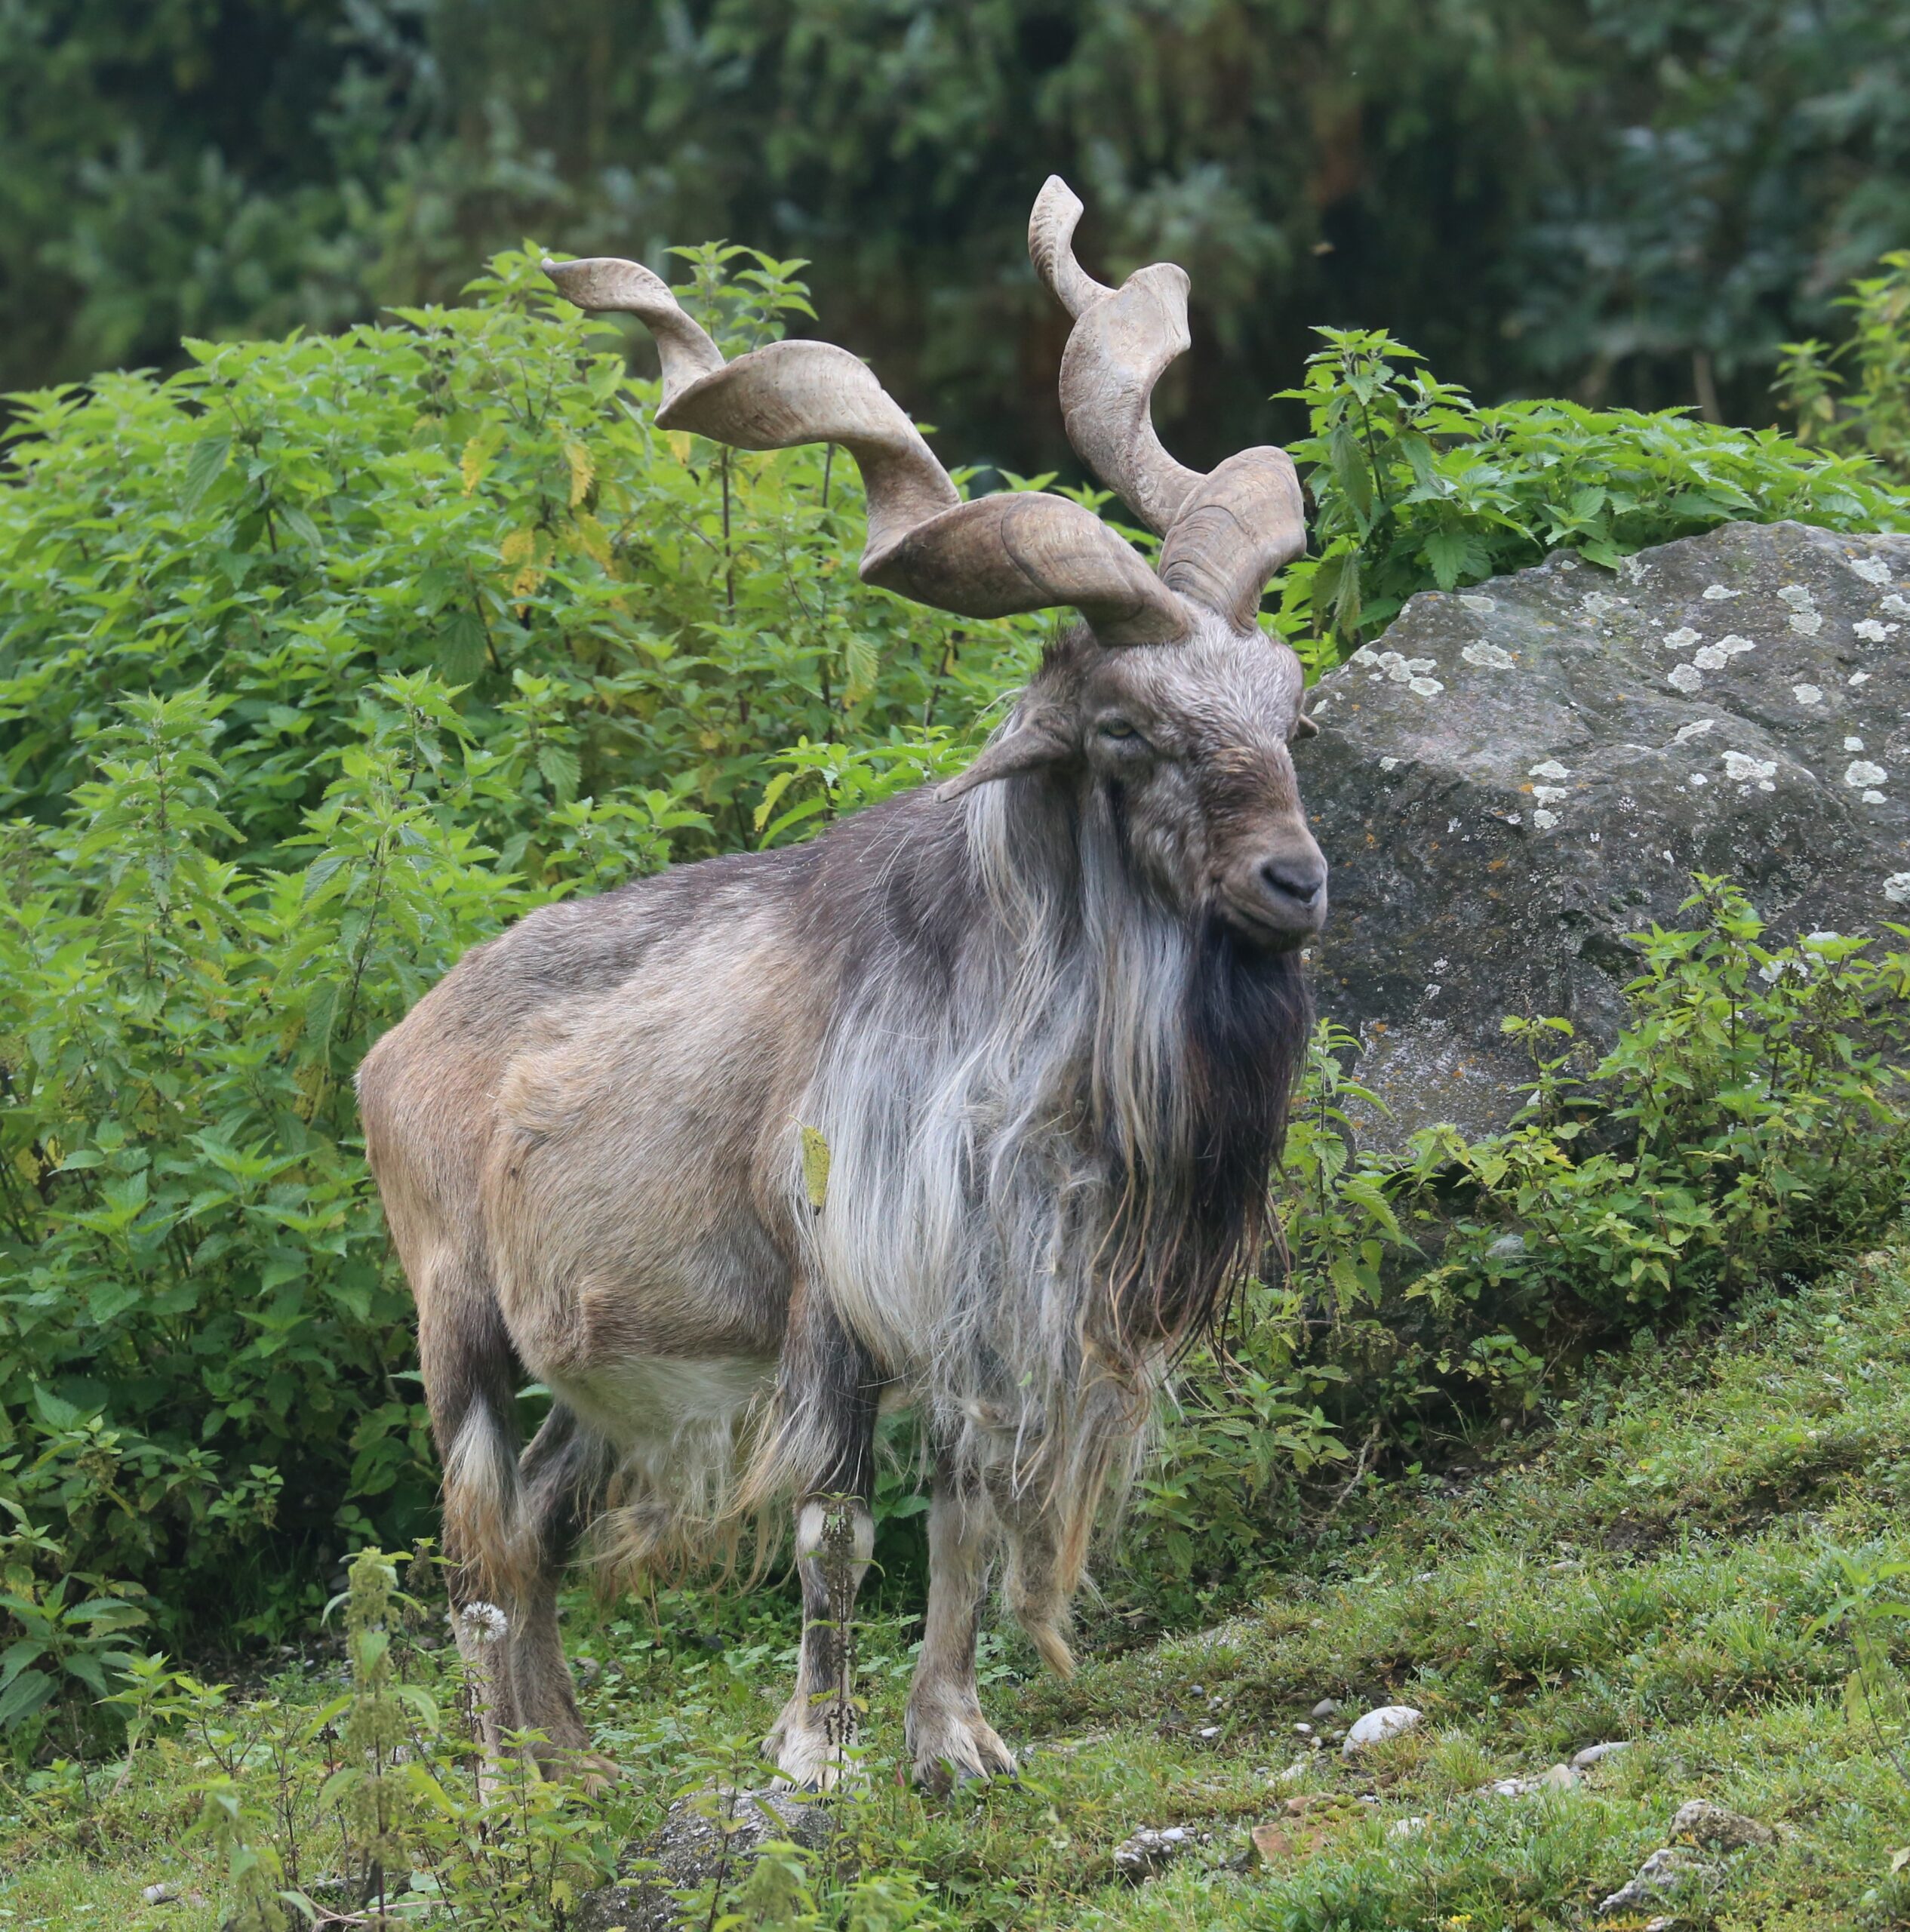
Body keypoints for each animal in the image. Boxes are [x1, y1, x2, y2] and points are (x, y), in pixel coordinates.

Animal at [356, 177, 1326, 1791]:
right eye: (1126, 731)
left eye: (1287, 706)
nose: (1295, 882)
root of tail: (392, 1050)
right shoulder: (831, 1301)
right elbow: (837, 1531)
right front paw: (813, 1761)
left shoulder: (981, 1313)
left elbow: (965, 1516)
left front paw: (956, 1741)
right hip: (458, 1326)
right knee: (478, 1546)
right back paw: (503, 1784)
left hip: (613, 1366)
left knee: (544, 1517)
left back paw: (573, 1761)